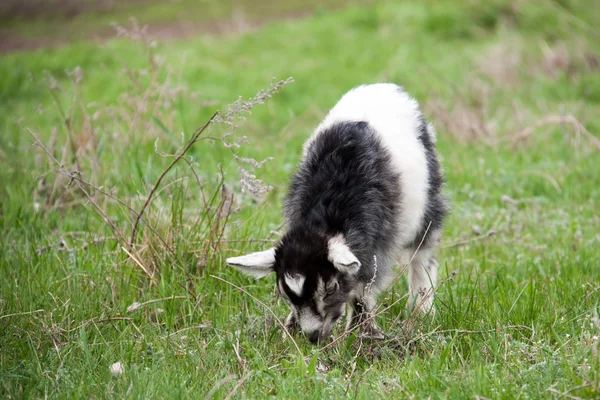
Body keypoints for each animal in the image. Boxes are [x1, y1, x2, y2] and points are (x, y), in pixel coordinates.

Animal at [227, 83, 448, 342]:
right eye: (284, 293)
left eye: (331, 288)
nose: (313, 337)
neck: (329, 211)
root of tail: (386, 87)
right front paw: (289, 329)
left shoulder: (378, 243)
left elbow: (364, 287)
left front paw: (364, 334)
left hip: (428, 206)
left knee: (422, 256)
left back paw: (422, 310)